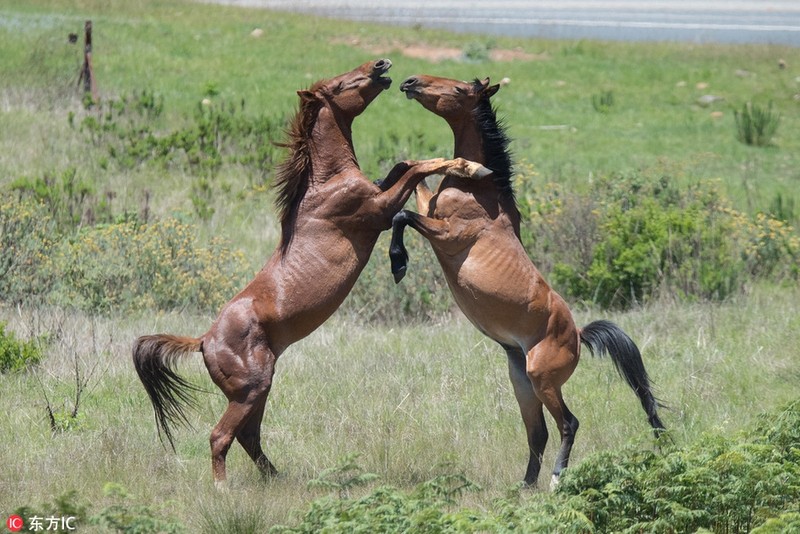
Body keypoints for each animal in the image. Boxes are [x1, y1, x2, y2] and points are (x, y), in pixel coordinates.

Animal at [131, 59, 488, 490]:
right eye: (339, 85)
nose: (382, 65)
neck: (326, 183)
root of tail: (202, 341)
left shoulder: (381, 196)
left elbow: (402, 165)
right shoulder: (378, 210)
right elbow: (416, 166)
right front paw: (471, 166)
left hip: (257, 391)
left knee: (249, 437)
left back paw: (278, 479)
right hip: (250, 390)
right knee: (221, 436)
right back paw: (223, 489)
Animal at [390, 75, 664, 490]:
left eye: (458, 89)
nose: (411, 82)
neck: (481, 193)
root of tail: (578, 335)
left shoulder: (448, 234)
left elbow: (402, 215)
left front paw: (398, 262)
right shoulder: (432, 211)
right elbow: (413, 182)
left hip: (542, 379)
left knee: (568, 423)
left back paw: (554, 479)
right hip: (521, 382)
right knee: (538, 432)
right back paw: (525, 485)